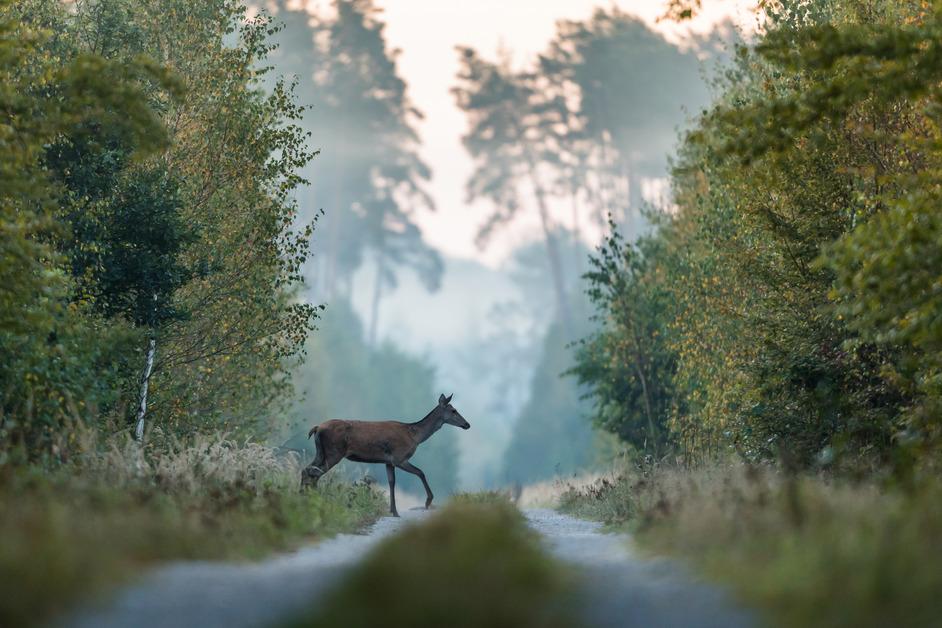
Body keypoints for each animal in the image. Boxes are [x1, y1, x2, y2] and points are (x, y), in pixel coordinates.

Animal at [300, 393, 470, 517]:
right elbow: (420, 472)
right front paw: (428, 502)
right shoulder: (399, 458)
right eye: (453, 410)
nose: (467, 424)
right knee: (314, 473)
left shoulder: (388, 462)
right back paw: (314, 499)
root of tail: (317, 428)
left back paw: (305, 497)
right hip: (334, 452)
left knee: (307, 470)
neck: (415, 436)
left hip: (321, 452)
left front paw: (394, 511)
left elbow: (391, 482)